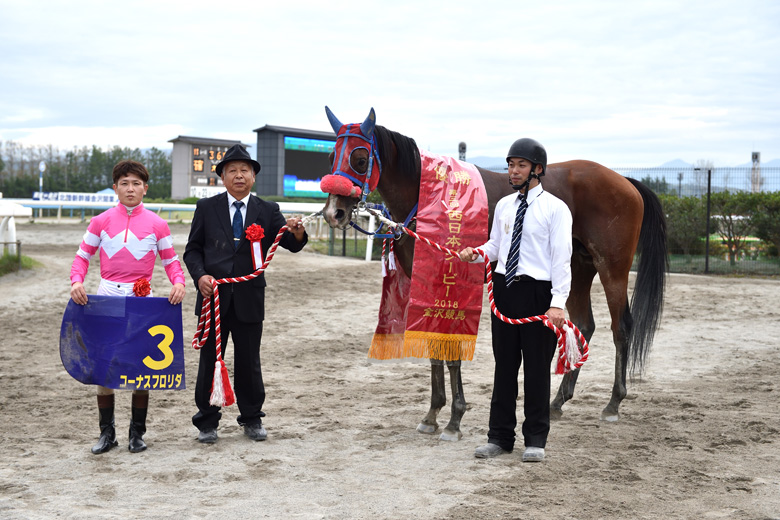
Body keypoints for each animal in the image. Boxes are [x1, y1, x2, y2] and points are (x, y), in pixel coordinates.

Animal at [321, 107, 667, 441]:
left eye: (360, 158)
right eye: (331, 155)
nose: (333, 212)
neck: (431, 199)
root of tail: (624, 180)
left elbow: (451, 348)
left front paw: (454, 419)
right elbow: (434, 343)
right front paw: (432, 415)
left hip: (612, 268)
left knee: (621, 328)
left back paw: (613, 403)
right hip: (577, 268)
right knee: (584, 325)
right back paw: (557, 401)